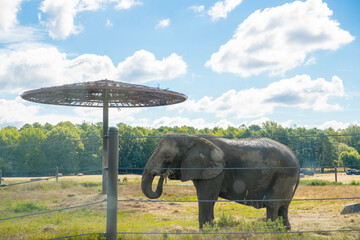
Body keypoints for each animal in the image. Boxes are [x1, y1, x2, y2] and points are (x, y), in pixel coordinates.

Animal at [142, 134, 300, 230]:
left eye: (167, 157)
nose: (163, 174)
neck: (191, 138)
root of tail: (295, 158)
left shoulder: (216, 168)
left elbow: (206, 197)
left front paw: (206, 231)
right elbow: (208, 198)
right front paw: (210, 229)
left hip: (284, 174)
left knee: (272, 204)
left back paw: (271, 230)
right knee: (283, 206)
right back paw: (285, 231)